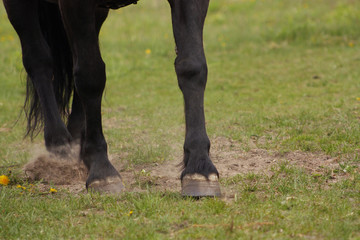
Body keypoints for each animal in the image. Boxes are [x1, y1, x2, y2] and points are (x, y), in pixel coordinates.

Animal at [2, 0, 221, 197]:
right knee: (39, 60)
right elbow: (90, 77)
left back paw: (76, 149)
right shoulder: (75, 5)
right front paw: (102, 172)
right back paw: (59, 147)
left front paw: (199, 167)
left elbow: (192, 66)